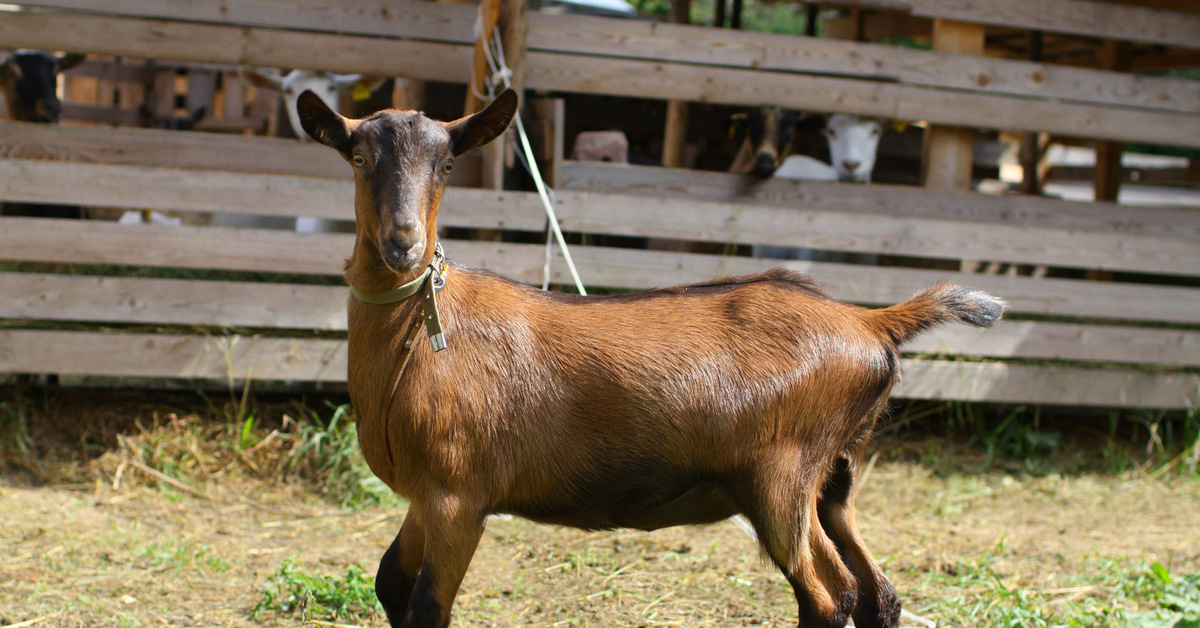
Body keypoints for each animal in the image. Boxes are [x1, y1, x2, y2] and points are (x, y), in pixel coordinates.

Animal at [297, 88, 1003, 628]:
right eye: (358, 156)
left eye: (447, 164)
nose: (404, 245)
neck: (416, 340)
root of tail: (868, 320)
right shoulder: (424, 497)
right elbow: (388, 583)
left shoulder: (457, 494)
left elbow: (425, 607)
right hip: (836, 475)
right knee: (877, 592)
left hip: (782, 475)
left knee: (832, 597)